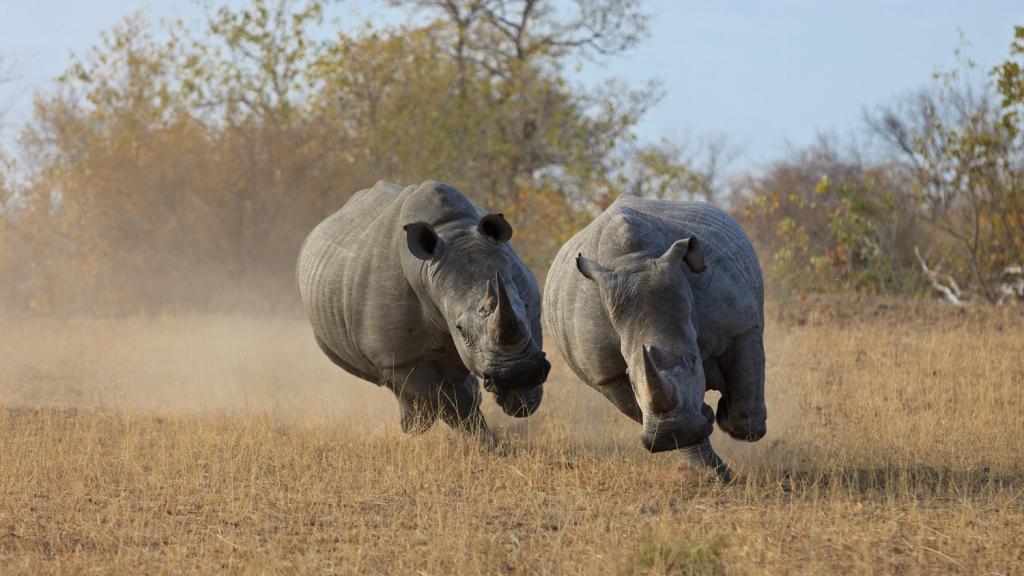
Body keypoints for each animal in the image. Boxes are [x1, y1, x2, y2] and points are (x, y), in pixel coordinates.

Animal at [297, 180, 550, 437]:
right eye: (460, 329)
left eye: (526, 306)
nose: (518, 373)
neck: (452, 230)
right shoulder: (401, 357)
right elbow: (446, 398)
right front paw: (482, 438)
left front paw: (521, 401)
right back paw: (415, 425)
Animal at [543, 195, 767, 481]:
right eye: (630, 377)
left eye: (694, 361)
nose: (673, 431)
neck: (635, 260)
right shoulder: (606, 374)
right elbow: (634, 403)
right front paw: (699, 425)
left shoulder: (739, 326)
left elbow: (746, 385)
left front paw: (729, 420)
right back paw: (714, 474)